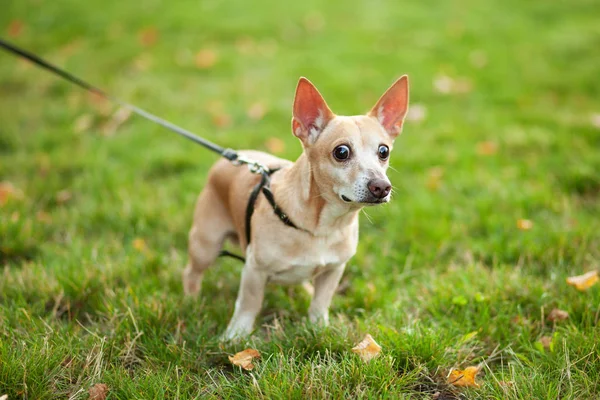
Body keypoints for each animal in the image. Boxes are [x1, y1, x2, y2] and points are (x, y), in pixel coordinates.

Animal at [182, 76, 408, 340]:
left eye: (384, 151)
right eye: (341, 152)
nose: (382, 187)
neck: (322, 226)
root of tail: (230, 157)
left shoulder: (334, 270)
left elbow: (321, 303)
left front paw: (318, 327)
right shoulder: (254, 271)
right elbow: (248, 305)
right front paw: (234, 336)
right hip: (205, 246)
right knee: (191, 272)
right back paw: (190, 301)